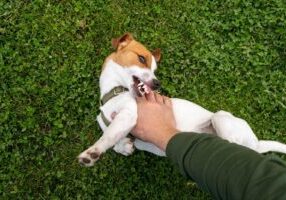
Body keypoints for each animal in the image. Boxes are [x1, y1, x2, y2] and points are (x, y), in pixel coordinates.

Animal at [77, 33, 286, 167]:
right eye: (142, 59)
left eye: (155, 70)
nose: (157, 83)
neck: (115, 93)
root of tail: (257, 144)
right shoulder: (111, 121)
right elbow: (113, 136)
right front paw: (123, 146)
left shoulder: (129, 115)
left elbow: (108, 136)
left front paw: (93, 152)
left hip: (220, 118)